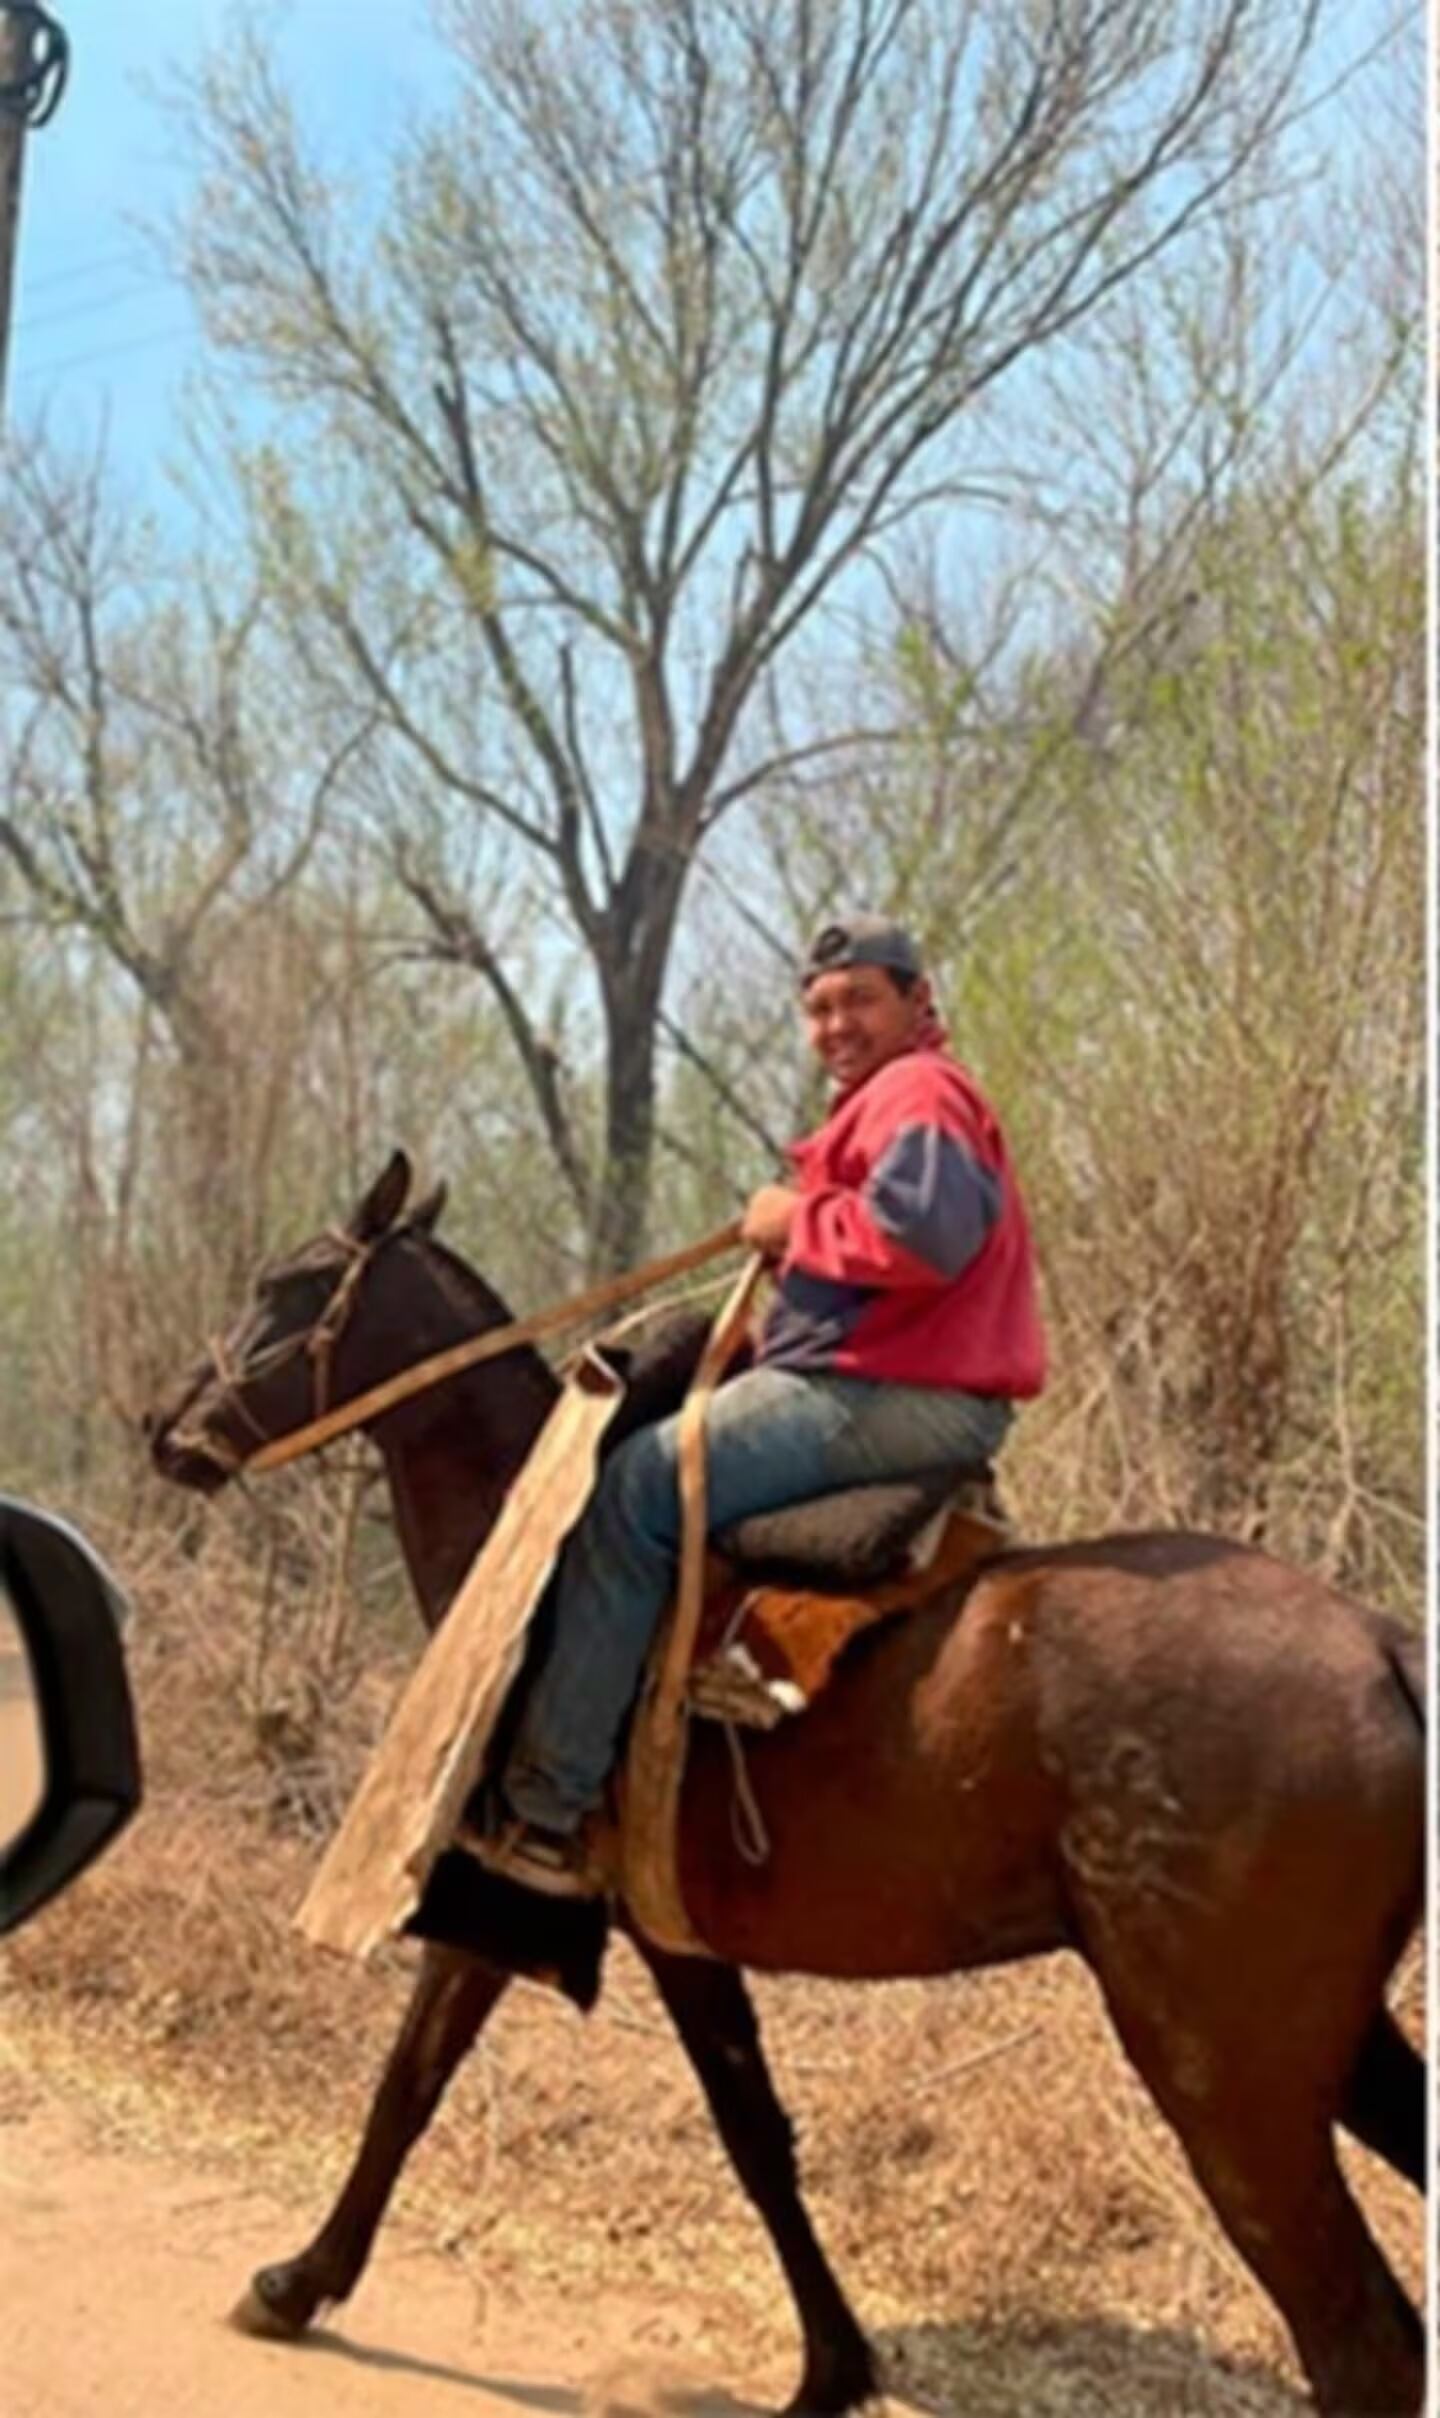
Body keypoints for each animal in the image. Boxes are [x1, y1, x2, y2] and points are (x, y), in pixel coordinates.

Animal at [140, 1155, 1420, 2418]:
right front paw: (833, 2368)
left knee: (1357, 2339)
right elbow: (755, 2133)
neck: (536, 1548)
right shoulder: (679, 1940)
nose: (165, 1426)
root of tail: (1382, 1650)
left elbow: (412, 2078)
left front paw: (297, 2280)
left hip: (1225, 2073)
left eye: (289, 1284)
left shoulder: (500, 1895)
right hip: (1324, 2048)